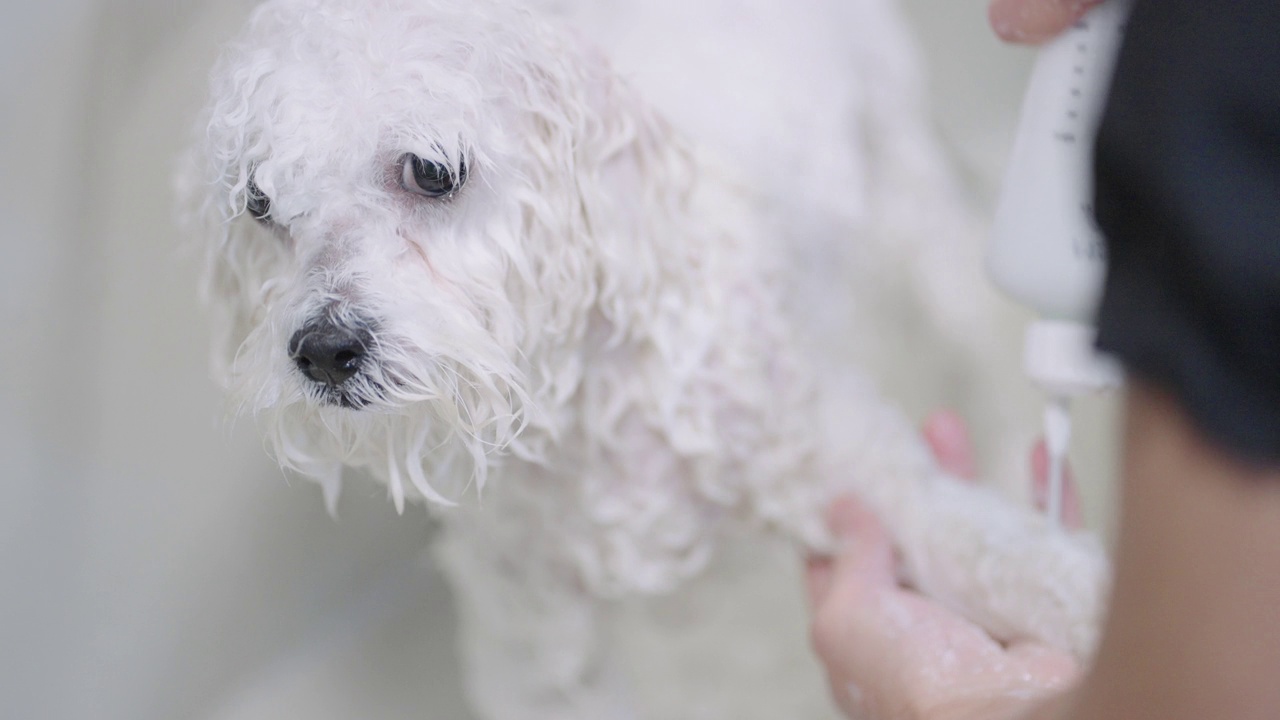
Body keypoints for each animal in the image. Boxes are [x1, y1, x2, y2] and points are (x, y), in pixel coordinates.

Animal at [183, 0, 1111, 712]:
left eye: (431, 170)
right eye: (260, 203)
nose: (323, 349)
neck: (587, 402)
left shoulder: (848, 466)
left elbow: (1015, 563)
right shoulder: (537, 640)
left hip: (907, 184)